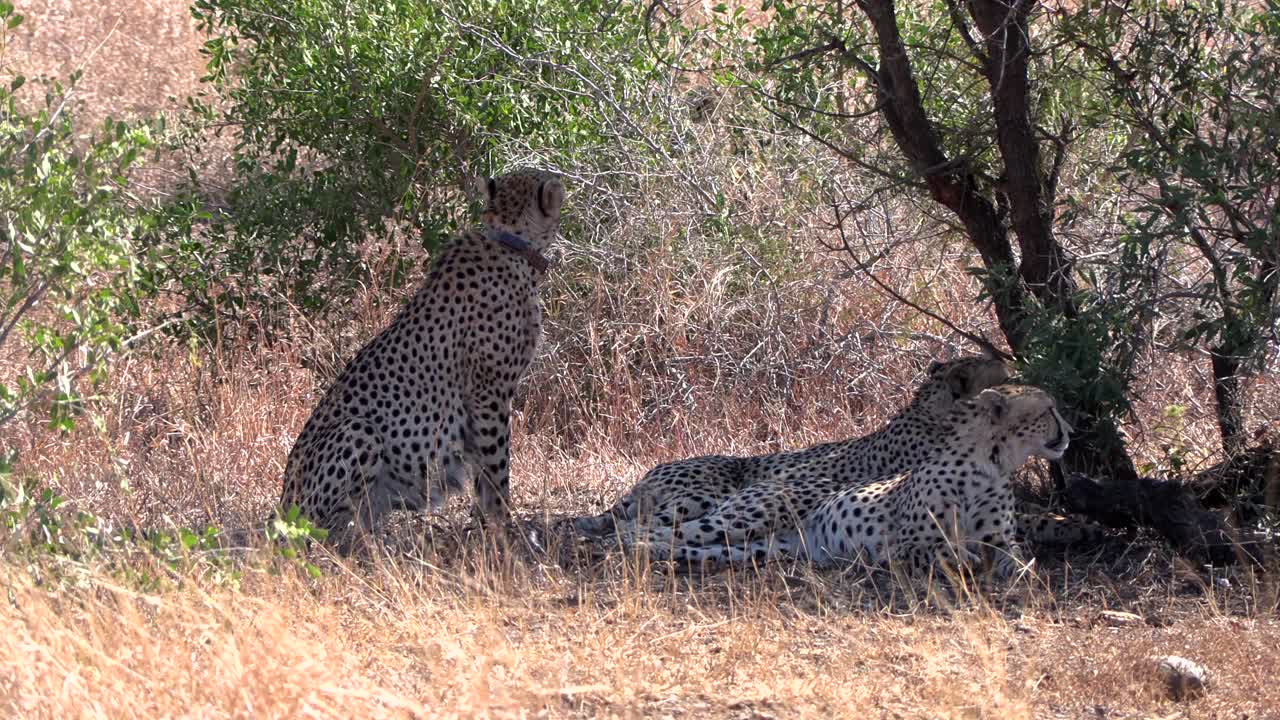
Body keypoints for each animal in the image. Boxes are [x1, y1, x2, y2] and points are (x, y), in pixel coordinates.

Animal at [279, 168, 564, 535]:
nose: (561, 180)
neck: (510, 240)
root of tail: (282, 502)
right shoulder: (489, 389)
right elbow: (496, 463)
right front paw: (504, 523)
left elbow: (481, 469)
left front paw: (482, 522)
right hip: (358, 432)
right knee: (324, 529)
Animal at [658, 384, 1076, 579]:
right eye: (1048, 410)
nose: (1071, 432)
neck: (990, 464)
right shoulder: (908, 544)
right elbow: (942, 551)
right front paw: (965, 559)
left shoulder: (1000, 540)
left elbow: (1019, 561)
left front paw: (1022, 574)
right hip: (748, 515)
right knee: (663, 529)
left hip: (759, 547)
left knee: (696, 547)